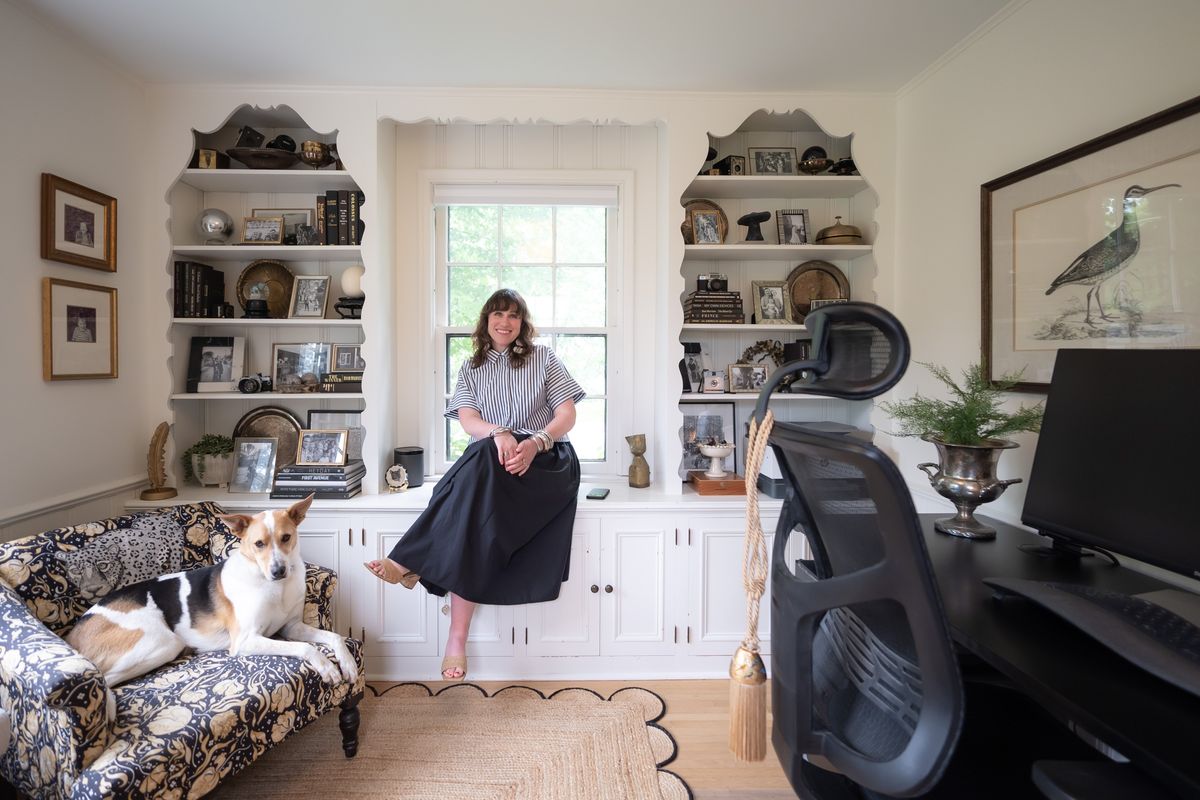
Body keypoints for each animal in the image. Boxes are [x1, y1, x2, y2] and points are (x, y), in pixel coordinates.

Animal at [65, 494, 355, 690]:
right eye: (258, 544)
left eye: (286, 538)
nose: (278, 571)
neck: (274, 587)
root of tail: (74, 633)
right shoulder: (245, 641)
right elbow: (305, 648)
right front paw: (327, 667)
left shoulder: (291, 626)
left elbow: (334, 637)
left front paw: (348, 662)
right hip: (163, 641)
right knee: (106, 679)